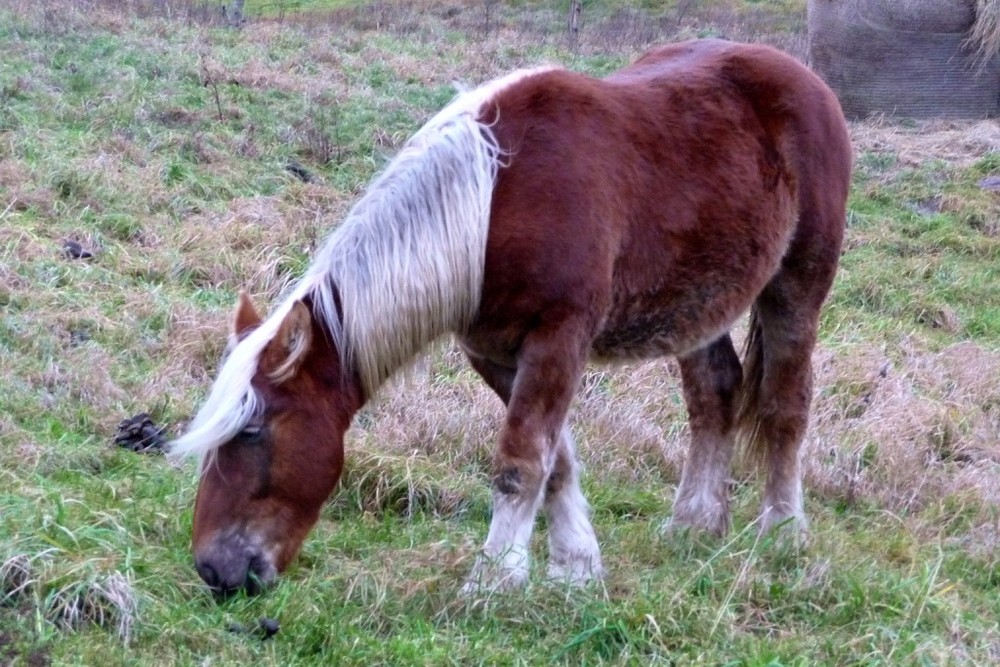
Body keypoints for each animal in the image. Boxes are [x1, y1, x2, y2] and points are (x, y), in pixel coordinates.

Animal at [170, 39, 852, 596]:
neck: (493, 202)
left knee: (785, 405)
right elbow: (555, 461)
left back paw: (782, 532)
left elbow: (521, 463)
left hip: (796, 286)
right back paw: (692, 526)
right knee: (714, 395)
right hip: (698, 303)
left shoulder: (557, 339)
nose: (215, 570)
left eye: (252, 431)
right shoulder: (495, 352)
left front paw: (495, 579)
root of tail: (804, 76)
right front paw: (575, 567)